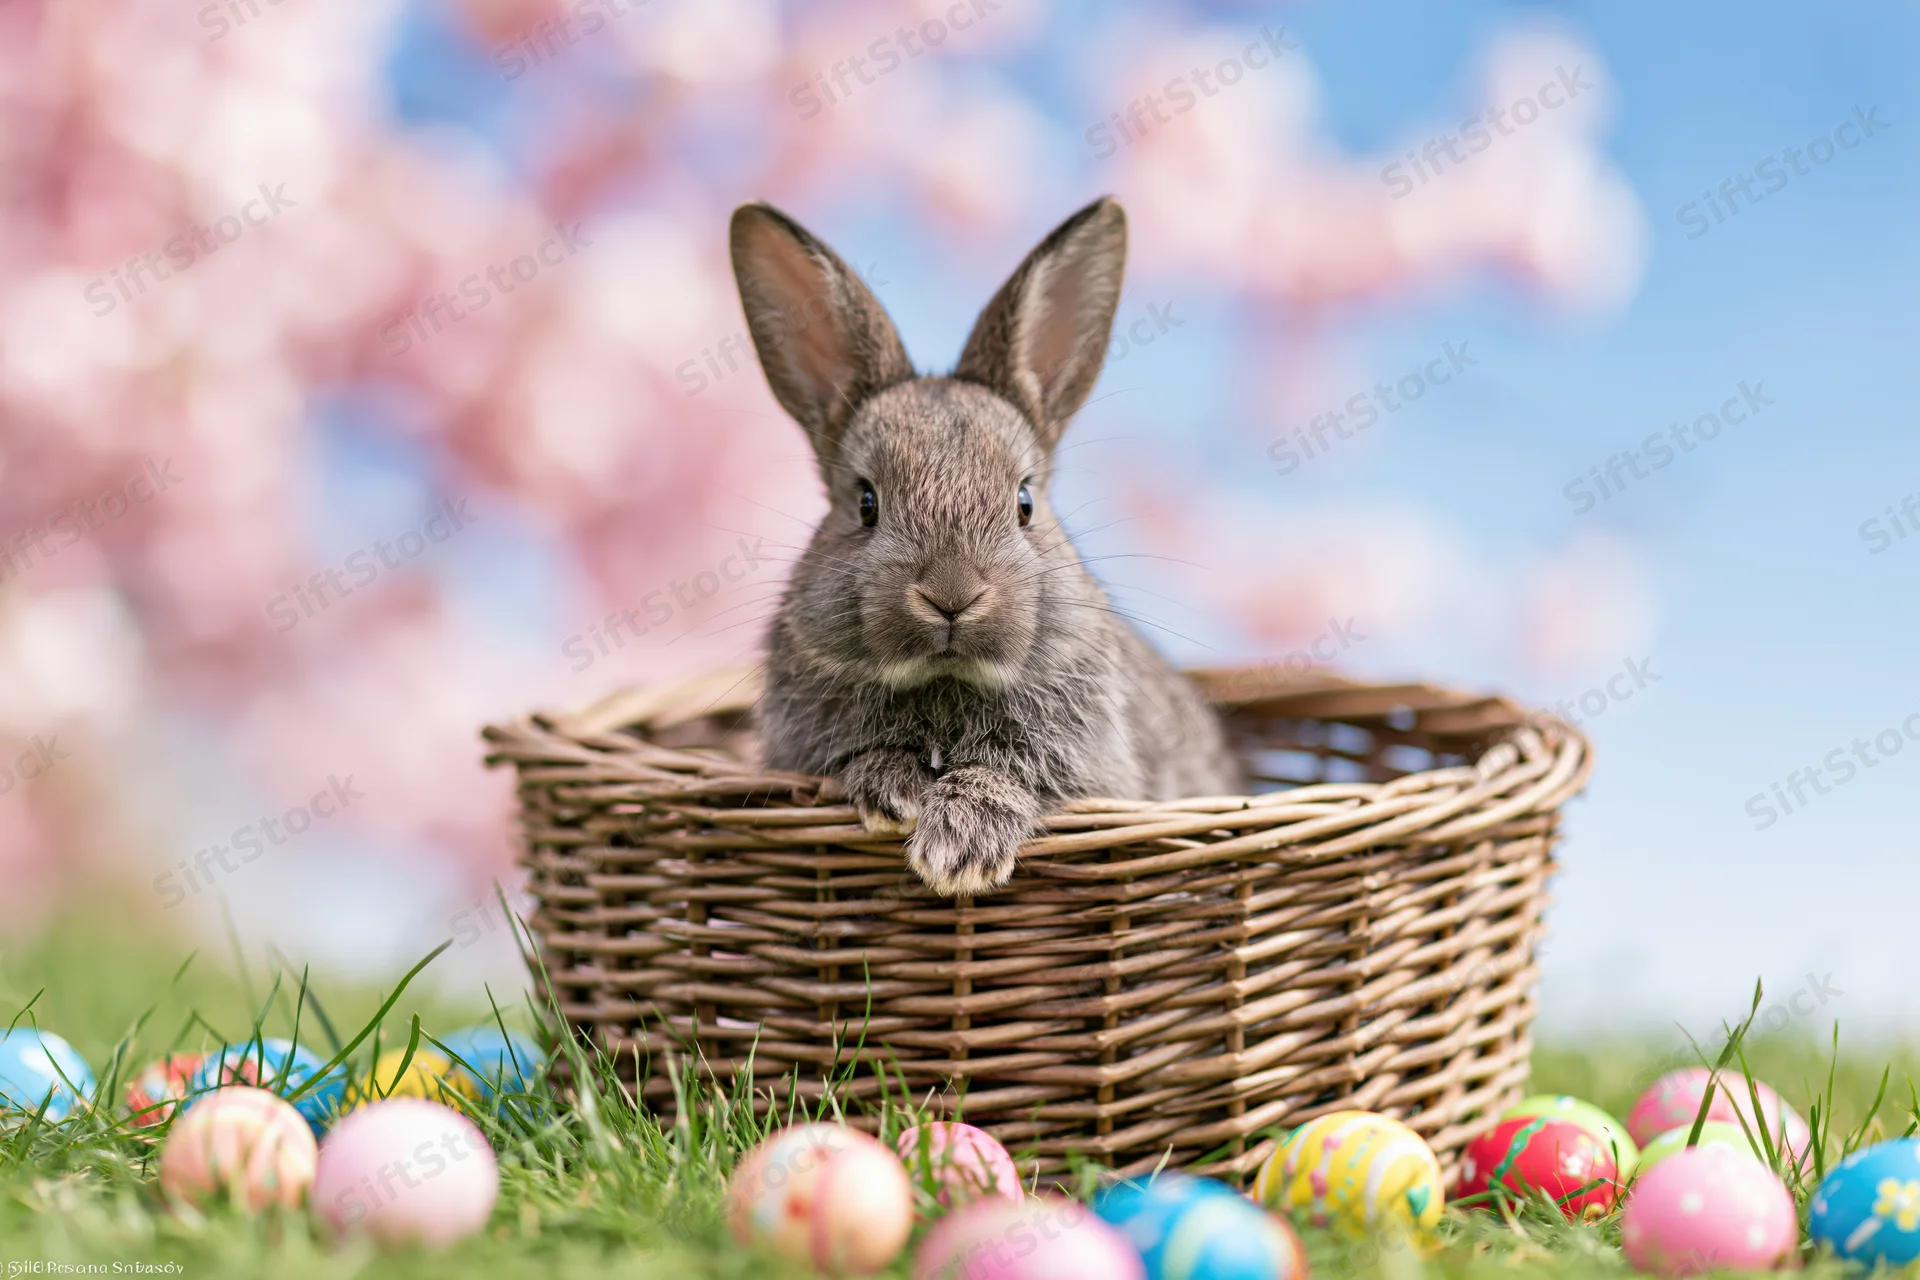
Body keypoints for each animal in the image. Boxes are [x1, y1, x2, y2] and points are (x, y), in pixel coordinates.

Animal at [729, 195, 1239, 897]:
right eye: (865, 504)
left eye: (1024, 503)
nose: (952, 594)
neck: (945, 681)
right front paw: (896, 793)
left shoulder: (1088, 768)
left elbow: (1015, 776)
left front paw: (957, 850)